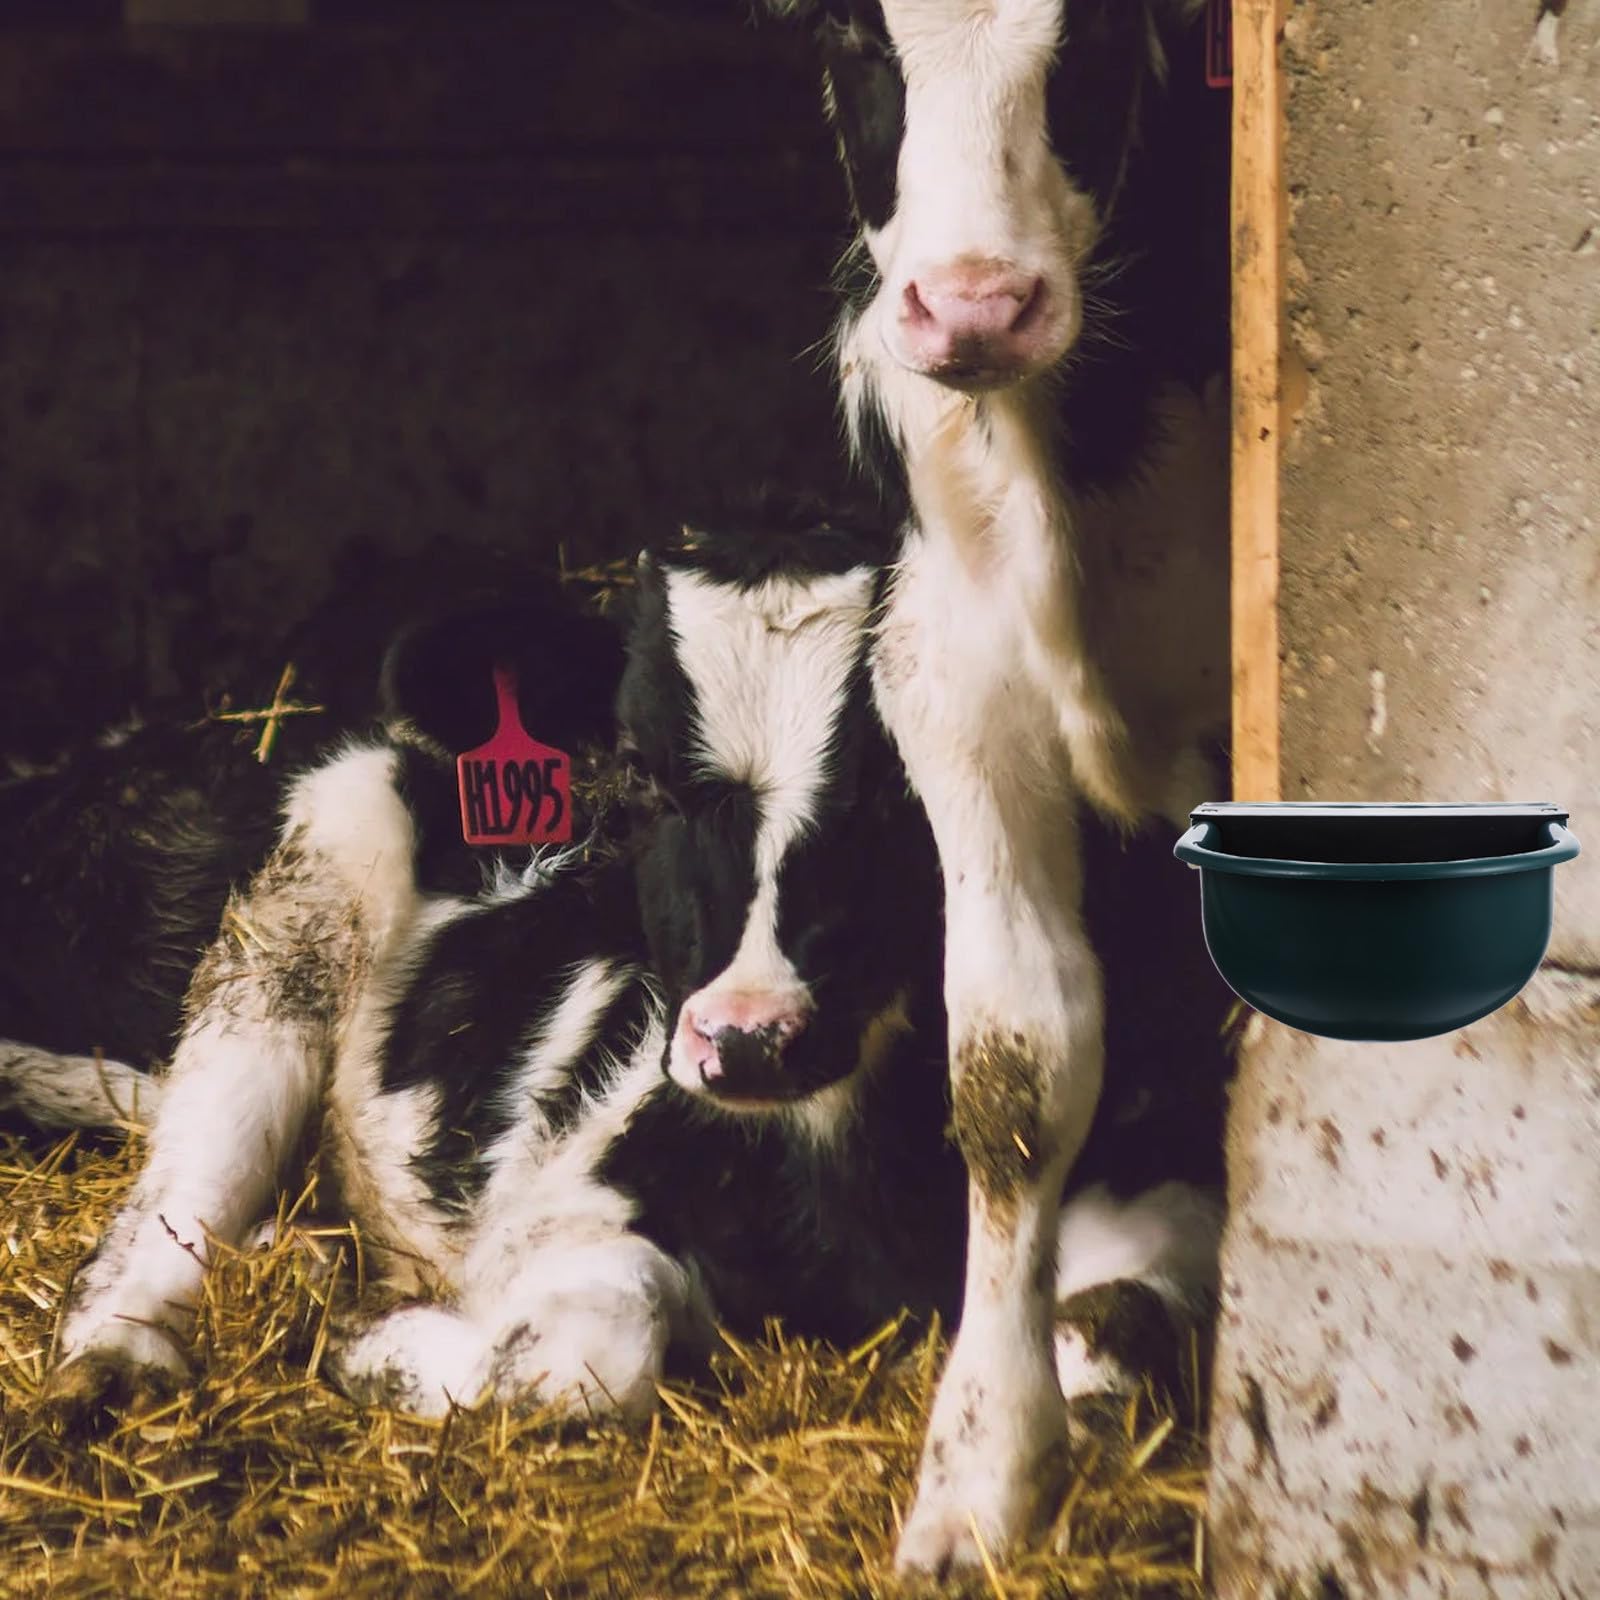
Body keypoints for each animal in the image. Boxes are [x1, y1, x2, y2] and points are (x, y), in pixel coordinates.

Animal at [19, 514, 1220, 1492]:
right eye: (638, 774)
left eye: (908, 785)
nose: (748, 1038)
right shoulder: (566, 1181)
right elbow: (574, 1361)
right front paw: (376, 1345)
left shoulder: (1153, 1160)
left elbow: (1117, 1346)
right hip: (300, 908)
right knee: (178, 1190)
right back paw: (122, 1359)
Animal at [763, 0, 1232, 1573]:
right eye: (852, 34)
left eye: (1101, 31)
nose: (974, 311)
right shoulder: (954, 683)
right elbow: (1018, 1068)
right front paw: (982, 1469)